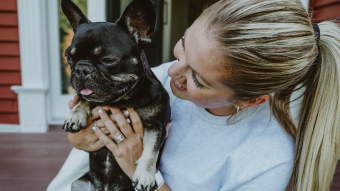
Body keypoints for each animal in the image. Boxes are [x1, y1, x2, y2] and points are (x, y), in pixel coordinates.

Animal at [60, 0, 170, 190]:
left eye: (108, 60)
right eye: (69, 57)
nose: (81, 69)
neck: (120, 101)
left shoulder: (156, 125)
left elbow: (150, 152)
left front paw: (144, 176)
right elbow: (84, 98)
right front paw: (75, 115)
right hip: (79, 183)